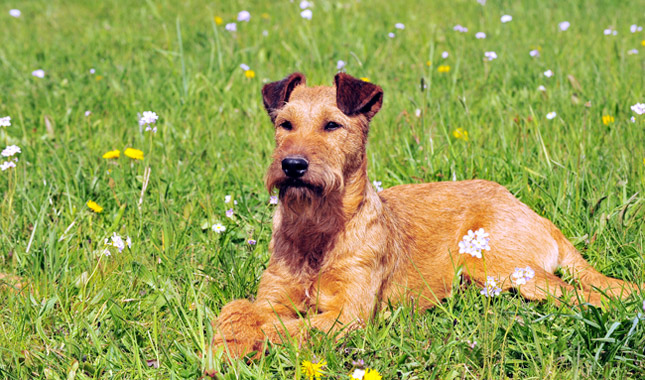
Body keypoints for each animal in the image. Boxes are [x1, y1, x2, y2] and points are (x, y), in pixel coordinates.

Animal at [213, 72, 640, 360]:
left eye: (332, 125)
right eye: (284, 124)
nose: (293, 165)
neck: (318, 232)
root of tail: (533, 213)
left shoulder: (348, 314)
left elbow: (279, 327)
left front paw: (238, 343)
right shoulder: (275, 294)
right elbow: (241, 307)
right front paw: (226, 338)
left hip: (507, 268)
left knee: (588, 295)